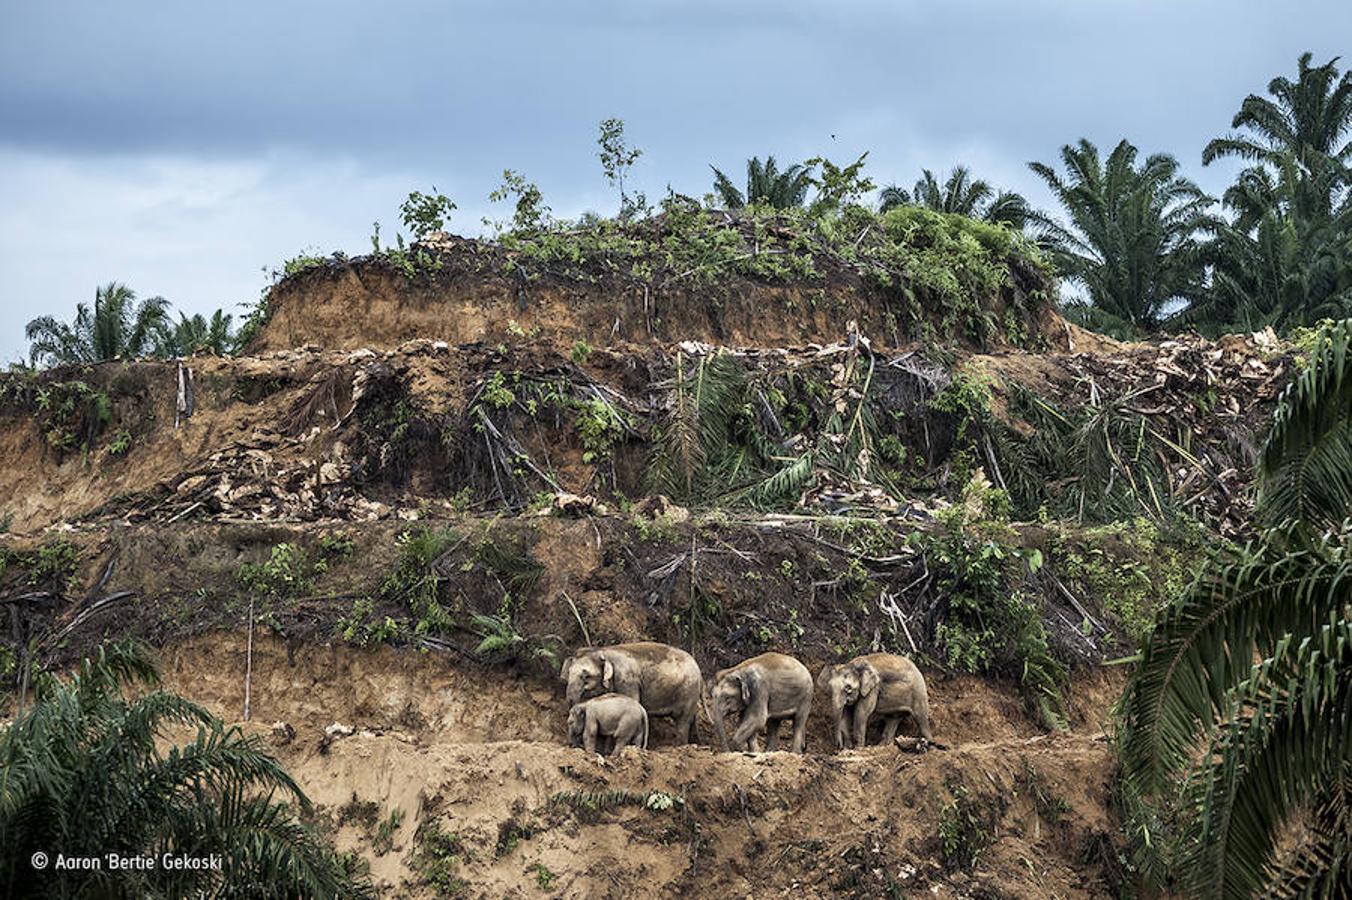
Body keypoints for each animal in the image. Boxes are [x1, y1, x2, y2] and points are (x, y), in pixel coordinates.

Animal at [562, 640, 703, 740]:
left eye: (586, 676)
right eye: (568, 673)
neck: (603, 651)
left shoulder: (627, 680)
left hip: (688, 691)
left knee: (682, 722)